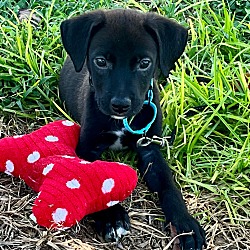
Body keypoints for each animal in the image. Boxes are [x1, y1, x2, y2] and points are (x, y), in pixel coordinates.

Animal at [59, 8, 206, 249]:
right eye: (101, 61)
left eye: (144, 63)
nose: (120, 105)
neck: (122, 121)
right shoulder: (87, 147)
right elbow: (94, 177)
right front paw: (111, 217)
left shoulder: (150, 147)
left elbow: (168, 185)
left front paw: (185, 224)